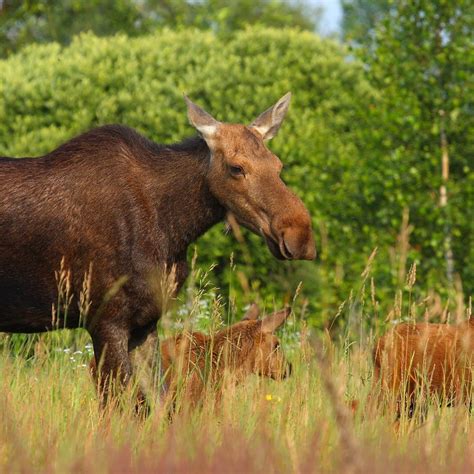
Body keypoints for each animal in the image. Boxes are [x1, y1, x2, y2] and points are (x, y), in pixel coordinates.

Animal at [1, 94, 316, 406]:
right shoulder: (105, 319)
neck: (173, 228)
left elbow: (158, 403)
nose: (300, 235)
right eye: (236, 167)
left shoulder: (145, 322)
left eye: (278, 165)